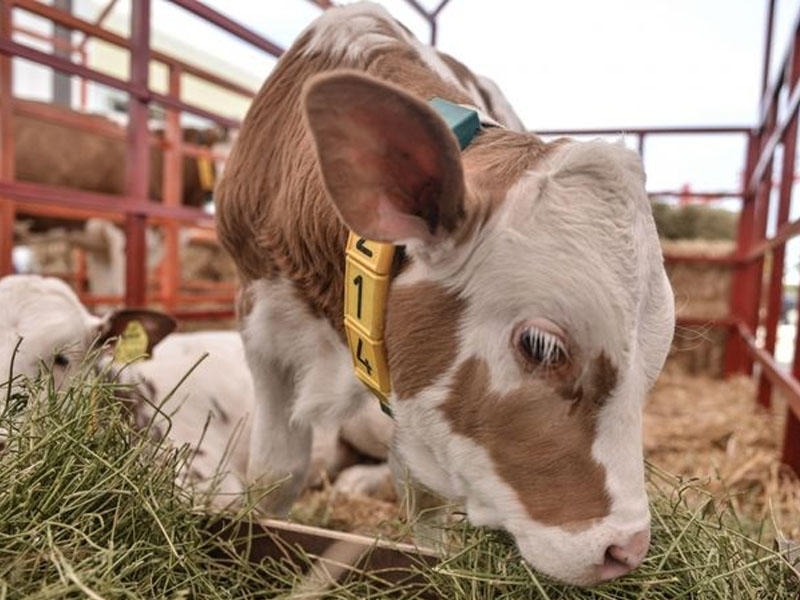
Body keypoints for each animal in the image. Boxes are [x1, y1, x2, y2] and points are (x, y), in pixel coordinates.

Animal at [214, 1, 676, 584]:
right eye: (541, 346)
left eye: (654, 365)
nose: (626, 550)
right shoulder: (259, 321)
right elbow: (276, 473)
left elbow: (425, 498)